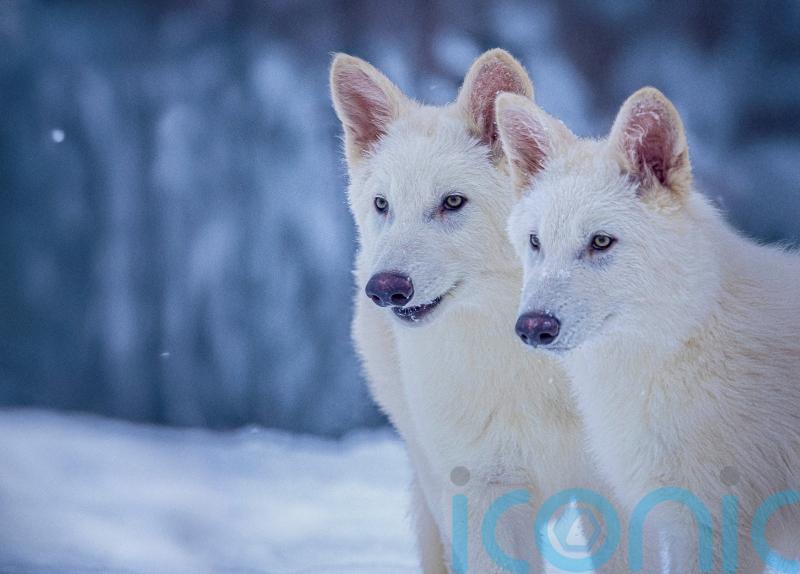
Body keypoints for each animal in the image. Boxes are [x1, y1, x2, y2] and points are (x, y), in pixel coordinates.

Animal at [330, 50, 628, 573]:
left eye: (452, 202)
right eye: (383, 204)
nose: (386, 289)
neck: (526, 367)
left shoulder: (611, 489)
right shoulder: (480, 496)